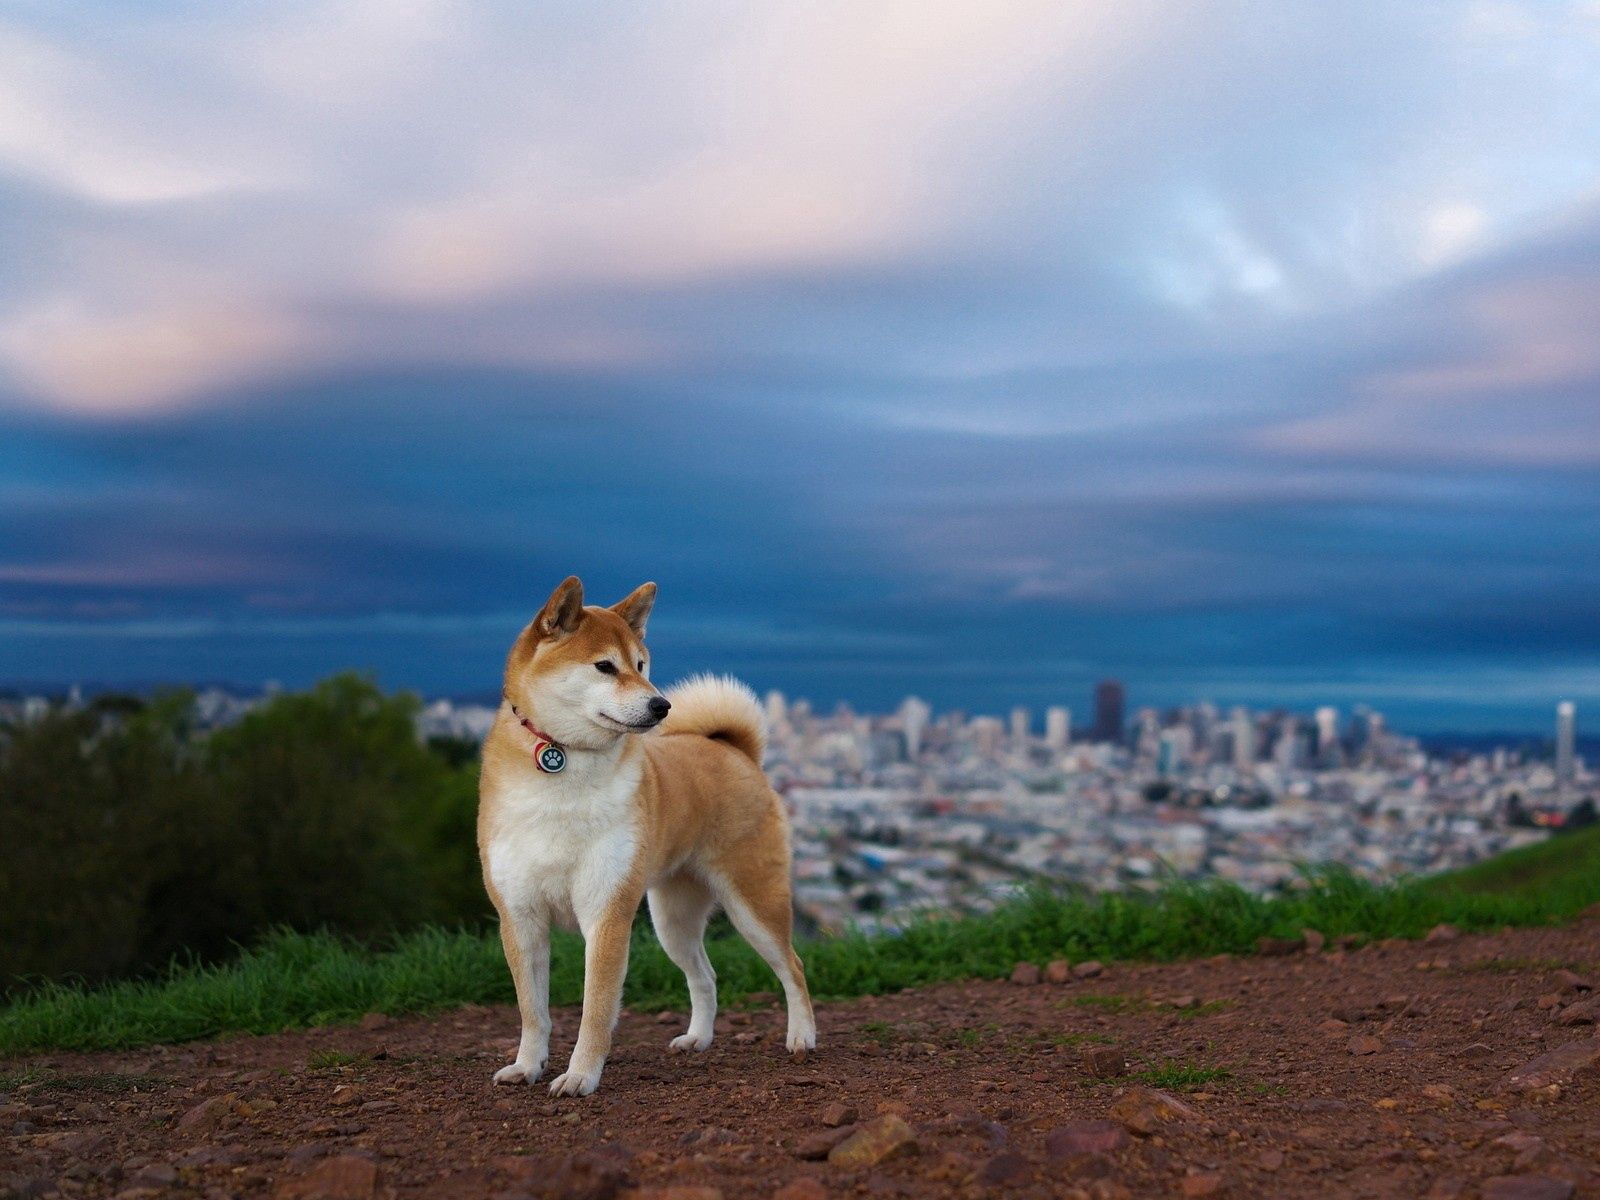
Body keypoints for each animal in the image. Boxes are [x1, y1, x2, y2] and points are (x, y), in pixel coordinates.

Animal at [476, 579, 819, 1094]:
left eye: (640, 665)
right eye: (605, 666)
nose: (662, 705)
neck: (564, 761)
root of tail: (735, 751)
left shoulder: (606, 913)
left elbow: (595, 1011)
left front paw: (580, 1076)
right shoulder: (520, 917)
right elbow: (532, 1010)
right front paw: (527, 1066)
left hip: (754, 903)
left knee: (792, 967)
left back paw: (801, 1037)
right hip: (672, 921)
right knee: (705, 976)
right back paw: (698, 1038)